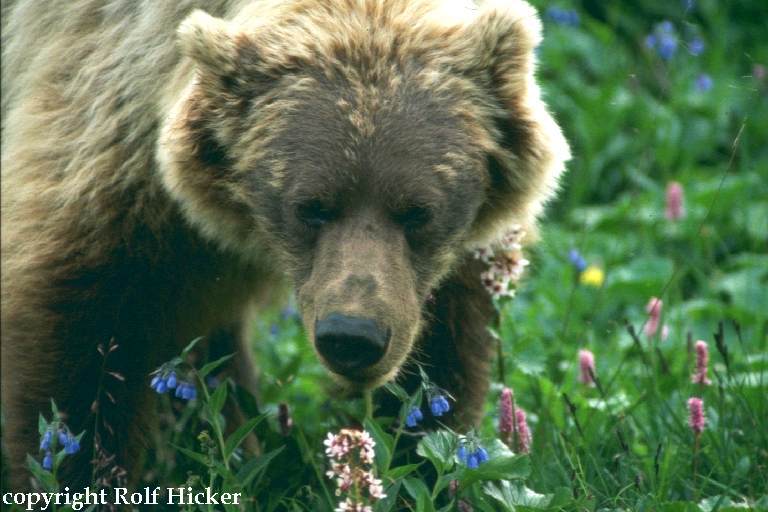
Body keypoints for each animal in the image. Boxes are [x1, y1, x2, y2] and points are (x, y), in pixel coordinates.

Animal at [1, 0, 569, 490]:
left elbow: (443, 343)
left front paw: (424, 457)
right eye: (311, 205)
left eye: (417, 211)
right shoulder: (111, 134)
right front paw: (75, 465)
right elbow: (86, 335)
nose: (353, 336)